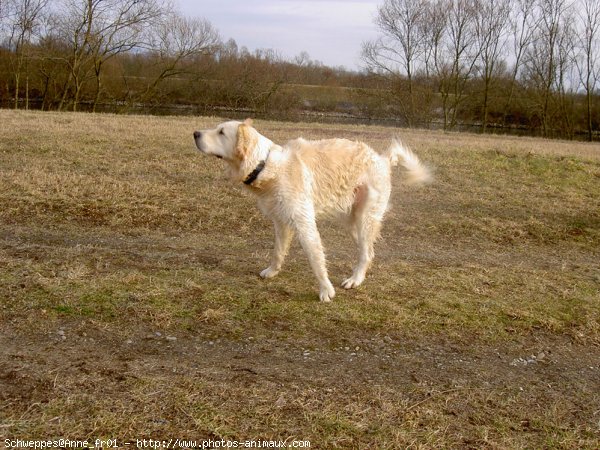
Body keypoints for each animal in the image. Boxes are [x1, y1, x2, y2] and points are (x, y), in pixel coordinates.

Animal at [193, 119, 432, 302]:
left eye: (221, 132)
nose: (195, 133)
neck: (265, 165)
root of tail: (382, 159)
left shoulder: (304, 224)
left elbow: (316, 260)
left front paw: (326, 290)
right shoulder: (280, 222)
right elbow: (278, 251)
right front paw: (272, 272)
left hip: (364, 219)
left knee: (365, 253)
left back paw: (354, 280)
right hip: (353, 222)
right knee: (369, 251)